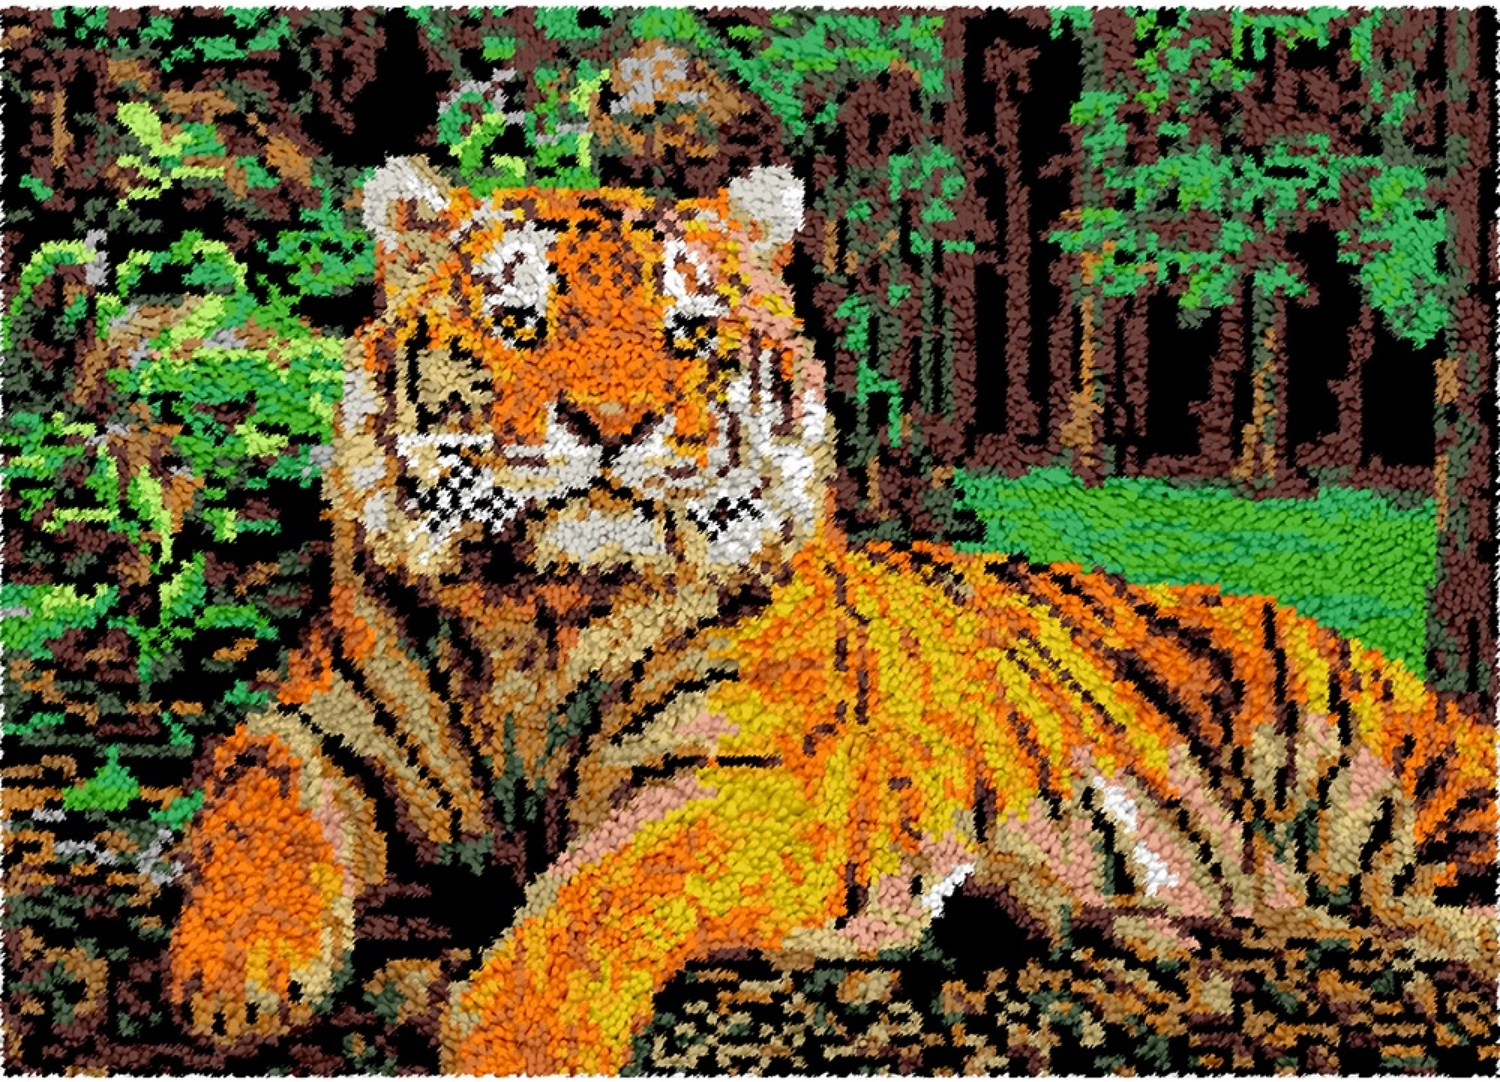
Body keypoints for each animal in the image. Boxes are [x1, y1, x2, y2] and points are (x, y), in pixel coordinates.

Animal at [166, 155, 1498, 1075]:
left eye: (688, 332)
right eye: (520, 322)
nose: (611, 424)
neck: (545, 607)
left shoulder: (741, 784)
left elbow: (599, 893)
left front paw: (515, 1035)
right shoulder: (308, 732)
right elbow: (254, 816)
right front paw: (239, 976)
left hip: (1417, 795)